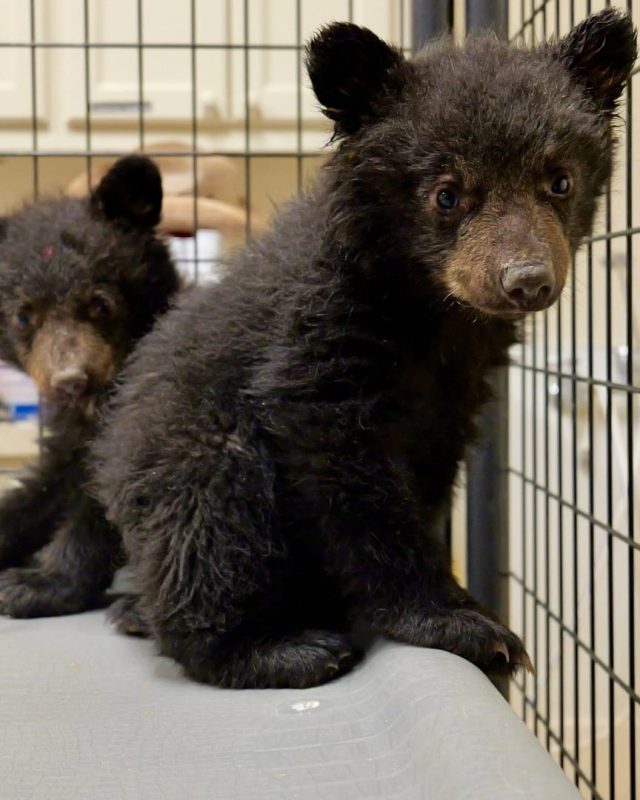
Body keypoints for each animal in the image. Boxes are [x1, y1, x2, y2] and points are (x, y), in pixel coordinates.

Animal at [0, 155, 180, 618]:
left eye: (100, 305)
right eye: (23, 316)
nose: (71, 380)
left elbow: (103, 505)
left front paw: (35, 583)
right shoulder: (68, 440)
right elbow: (42, 489)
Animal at [93, 10, 636, 689]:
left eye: (559, 181)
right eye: (446, 193)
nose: (527, 280)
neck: (431, 311)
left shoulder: (454, 396)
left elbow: (428, 477)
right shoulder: (318, 341)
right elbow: (349, 476)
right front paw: (461, 624)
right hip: (197, 451)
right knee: (208, 523)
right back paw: (273, 647)